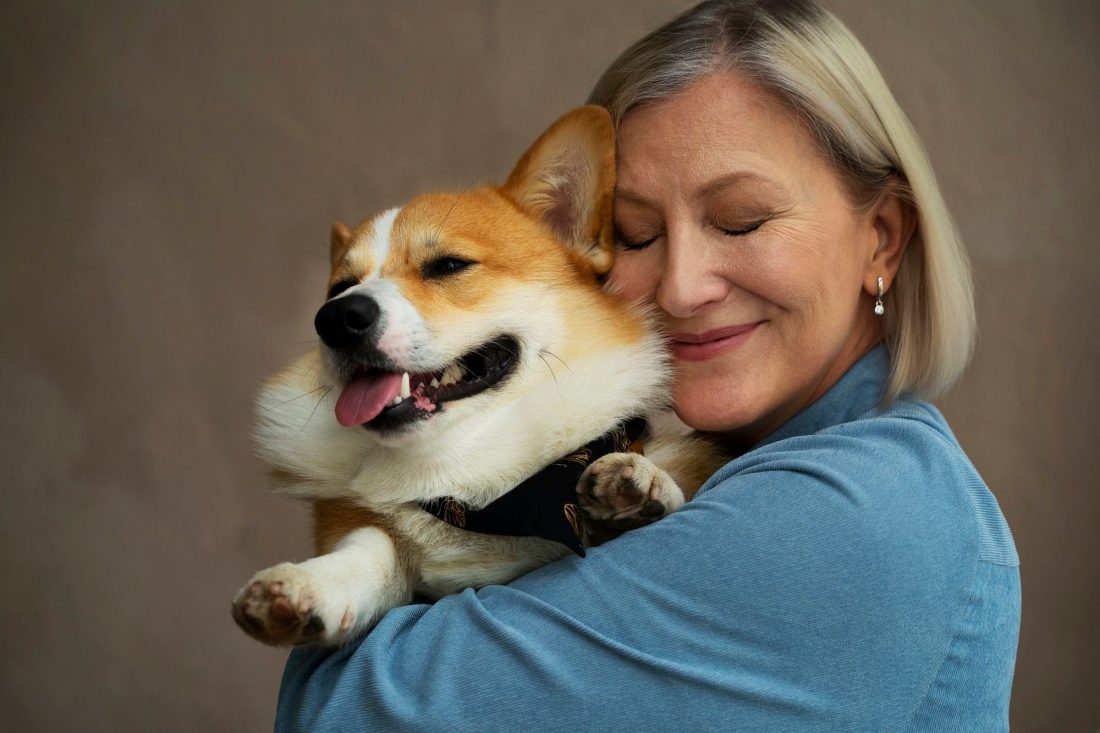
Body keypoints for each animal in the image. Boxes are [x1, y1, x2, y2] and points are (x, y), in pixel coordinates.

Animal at [231, 105, 726, 642]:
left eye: (448, 265)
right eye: (339, 288)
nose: (337, 319)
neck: (472, 478)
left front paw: (641, 486)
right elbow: (372, 546)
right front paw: (309, 585)